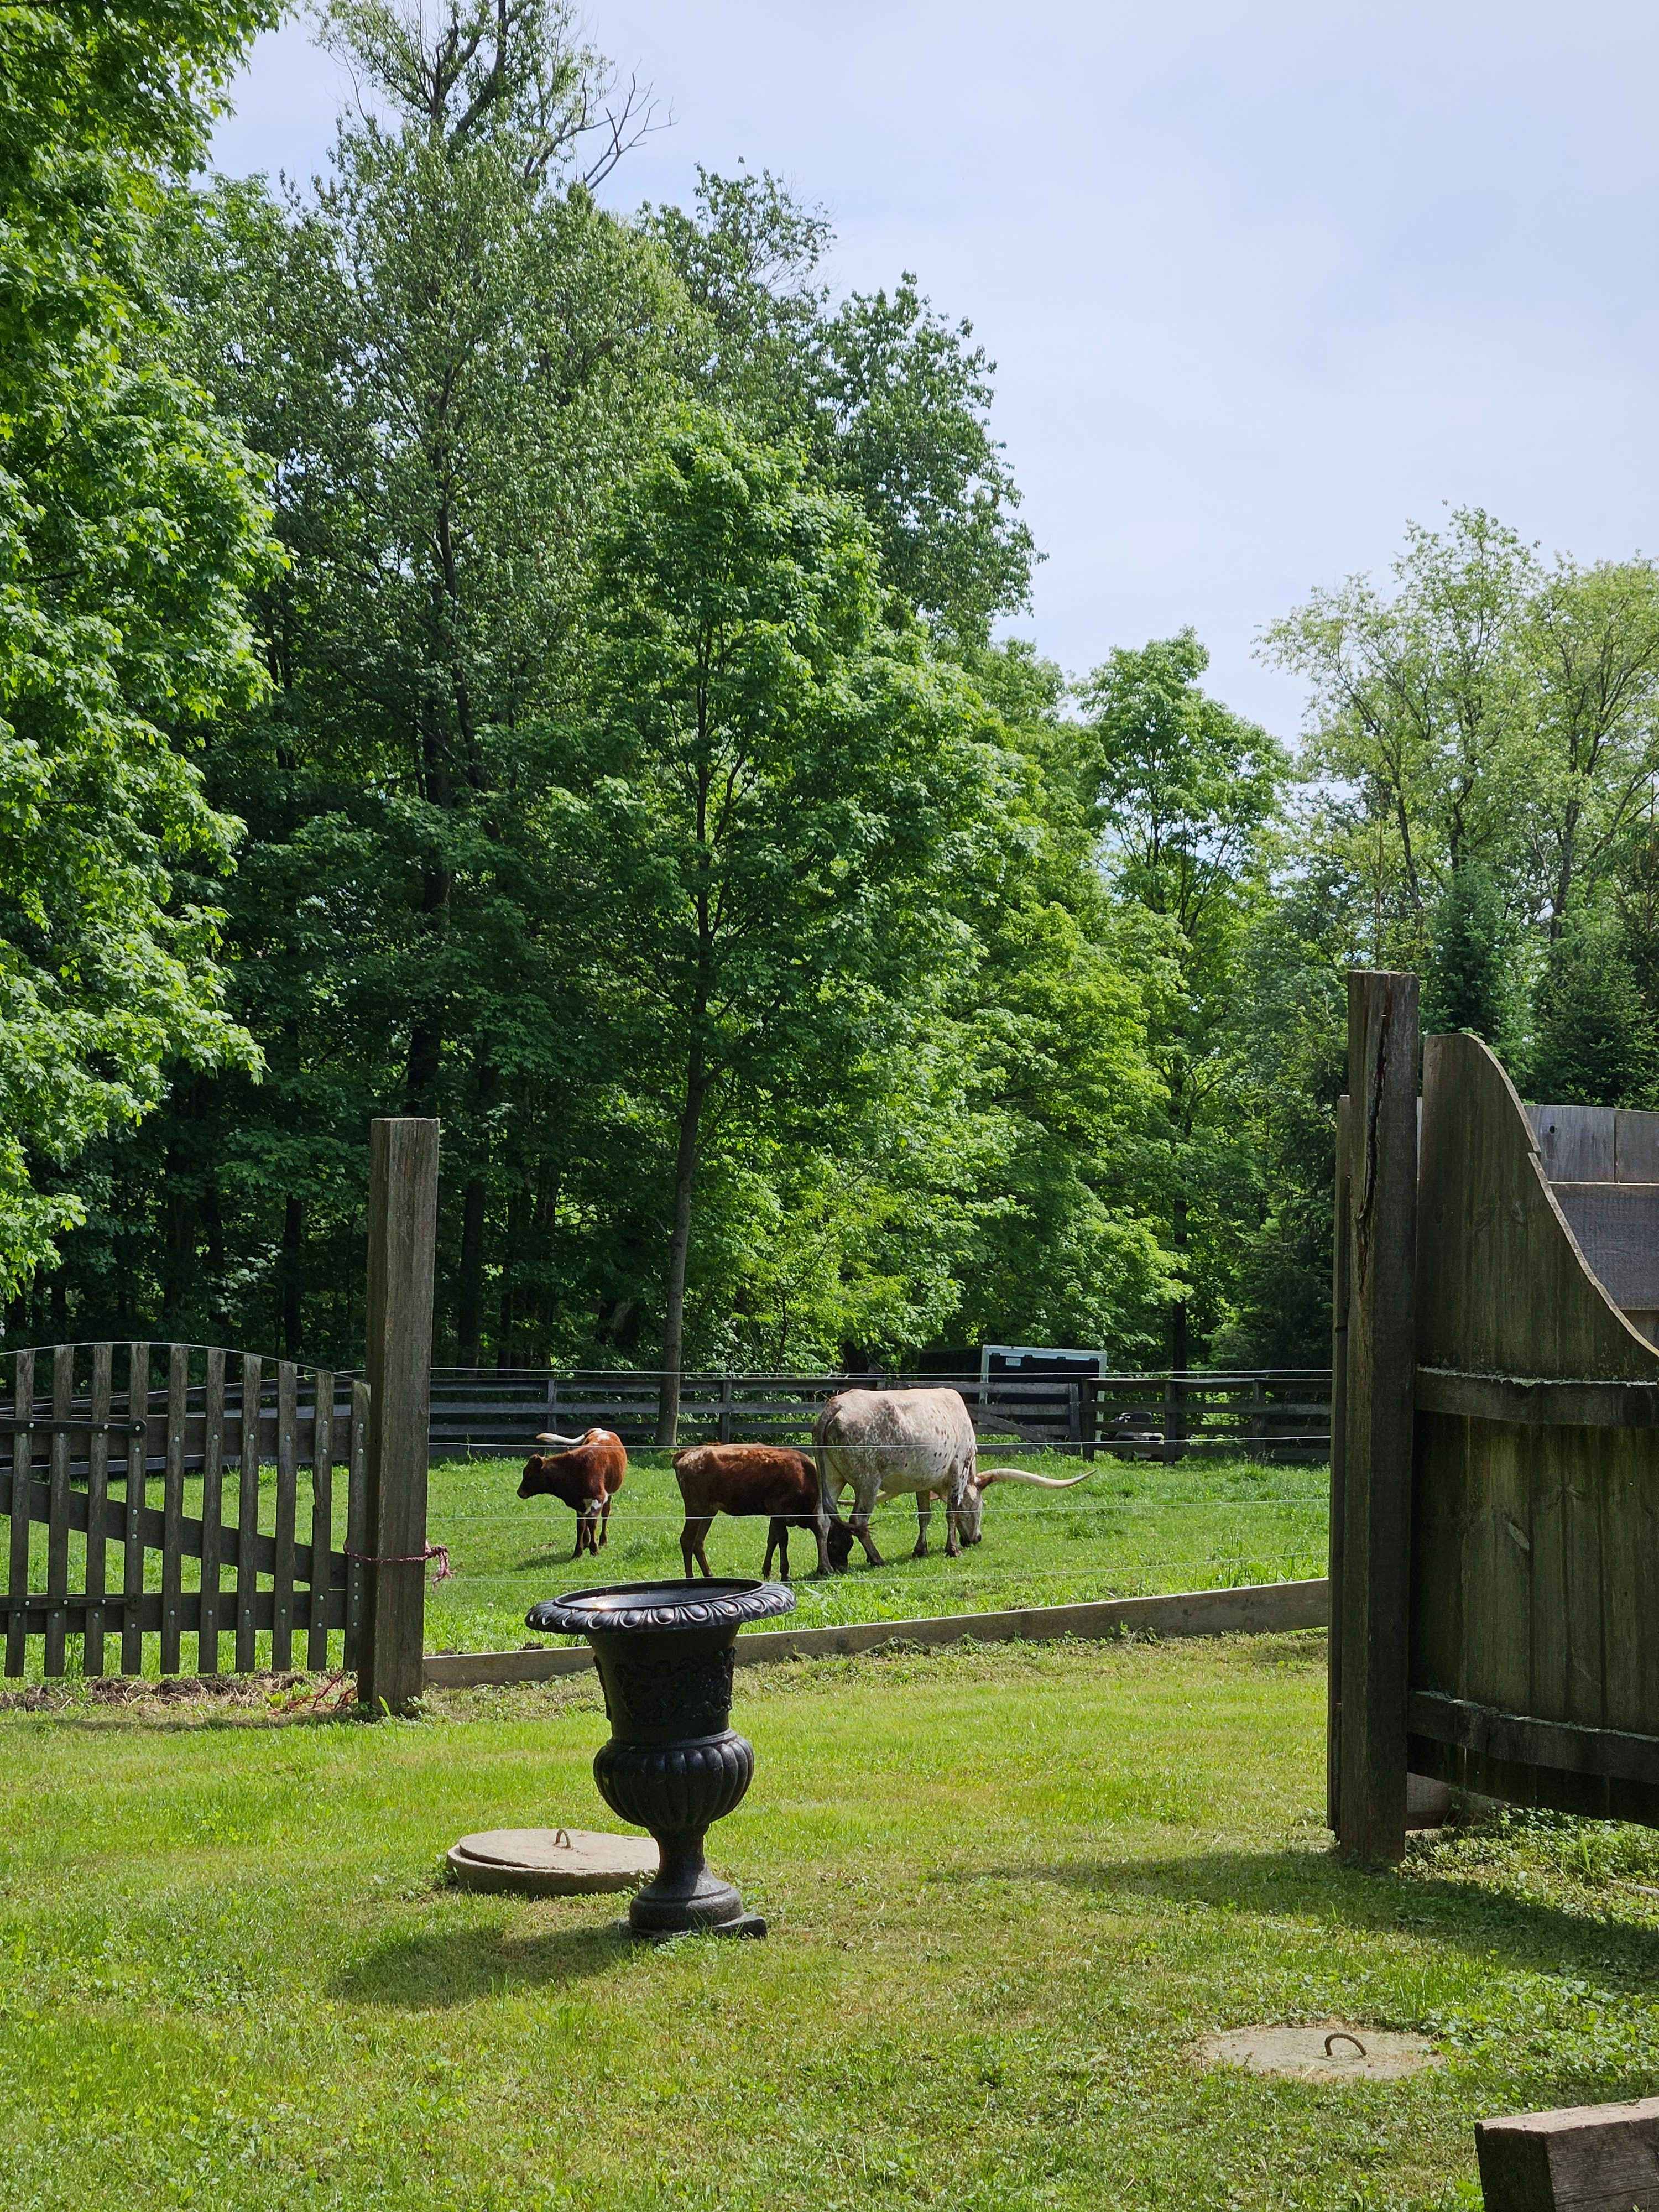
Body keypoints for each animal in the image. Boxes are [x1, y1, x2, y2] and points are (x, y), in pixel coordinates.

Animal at [517, 1428, 627, 1558]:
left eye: (529, 1475)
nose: (519, 1492)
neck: (575, 1470)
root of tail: (599, 1430)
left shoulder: (599, 1498)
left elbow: (592, 1522)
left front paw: (594, 1549)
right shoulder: (579, 1503)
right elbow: (581, 1525)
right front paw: (578, 1551)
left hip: (609, 1494)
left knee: (605, 1513)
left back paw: (602, 1540)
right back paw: (586, 1541)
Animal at [671, 1443, 838, 1579]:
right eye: (833, 1543)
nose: (831, 1570)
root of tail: (688, 1453)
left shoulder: (774, 1515)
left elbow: (772, 1540)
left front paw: (767, 1570)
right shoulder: (778, 1509)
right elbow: (783, 1540)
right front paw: (785, 1574)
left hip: (708, 1511)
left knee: (698, 1542)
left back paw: (709, 1575)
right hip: (695, 1508)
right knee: (687, 1540)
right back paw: (690, 1578)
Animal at [812, 1387, 1091, 1565]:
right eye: (981, 1505)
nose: (977, 1539)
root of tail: (835, 1407)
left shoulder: (923, 1481)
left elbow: (924, 1515)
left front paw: (921, 1549)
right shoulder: (959, 1468)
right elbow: (952, 1511)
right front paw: (953, 1548)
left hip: (832, 1478)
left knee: (822, 1519)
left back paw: (825, 1567)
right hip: (868, 1482)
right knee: (858, 1521)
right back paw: (876, 1559)